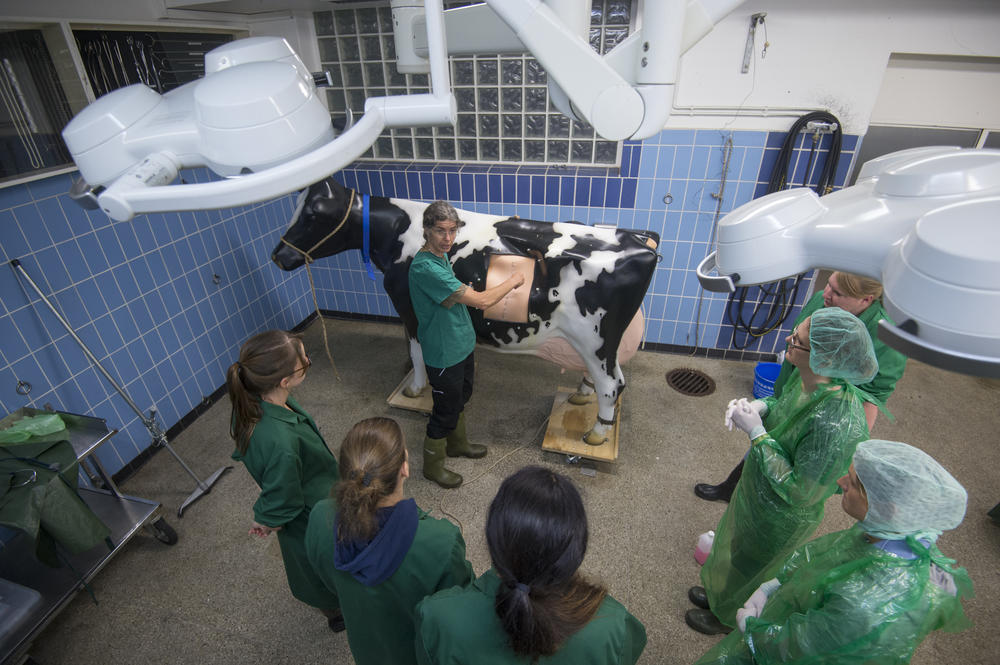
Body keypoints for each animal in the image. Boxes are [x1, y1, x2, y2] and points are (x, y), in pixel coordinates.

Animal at [274, 178, 660, 446]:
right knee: (603, 377)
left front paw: (416, 389)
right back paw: (582, 394)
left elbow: (417, 351)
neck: (399, 231)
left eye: (313, 215)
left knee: (612, 383)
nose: (278, 255)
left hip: (594, 338)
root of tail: (641, 243)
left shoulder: (408, 306)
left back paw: (596, 433)